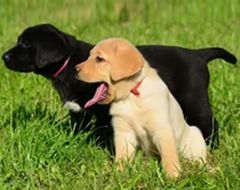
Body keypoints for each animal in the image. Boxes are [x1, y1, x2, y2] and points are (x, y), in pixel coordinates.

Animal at [1, 23, 236, 148]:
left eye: (26, 44)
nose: (4, 57)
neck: (69, 62)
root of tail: (199, 54)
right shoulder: (78, 112)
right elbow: (79, 129)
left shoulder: (103, 110)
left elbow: (104, 133)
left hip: (194, 99)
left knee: (210, 123)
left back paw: (211, 147)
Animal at [76, 37, 207, 177]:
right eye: (89, 56)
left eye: (99, 59)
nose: (75, 68)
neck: (131, 95)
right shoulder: (123, 131)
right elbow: (122, 155)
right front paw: (119, 173)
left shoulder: (162, 129)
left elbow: (169, 155)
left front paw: (172, 175)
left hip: (195, 136)